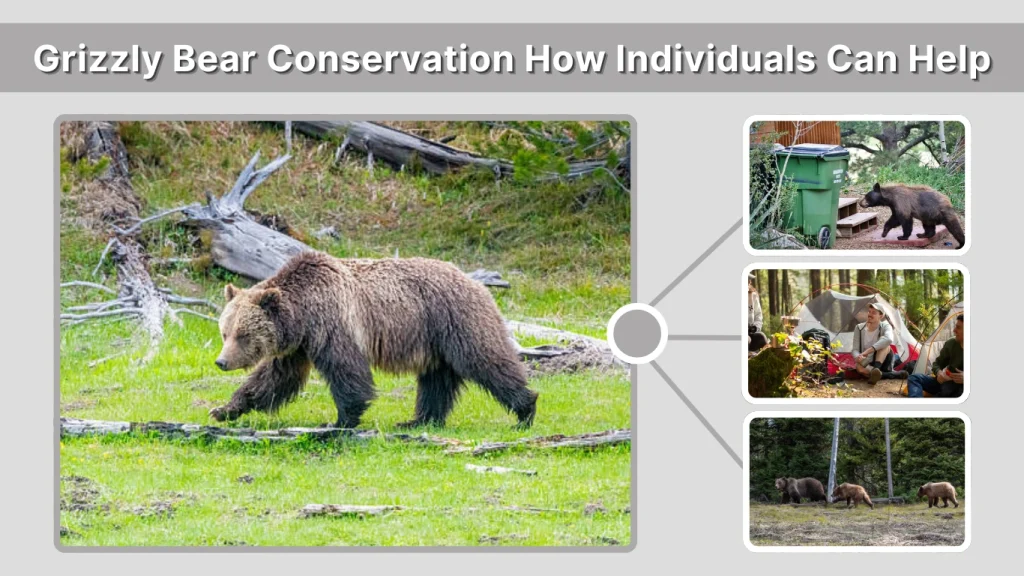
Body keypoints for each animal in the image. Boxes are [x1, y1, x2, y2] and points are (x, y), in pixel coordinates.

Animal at [208, 250, 539, 430]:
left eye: (243, 335)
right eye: (225, 332)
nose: (221, 361)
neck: (303, 313)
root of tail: (474, 281)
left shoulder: (333, 323)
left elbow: (346, 370)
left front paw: (341, 420)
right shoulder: (297, 345)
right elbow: (274, 378)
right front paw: (225, 409)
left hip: (455, 319)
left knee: (485, 360)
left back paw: (525, 408)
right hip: (434, 339)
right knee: (436, 380)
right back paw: (419, 420)